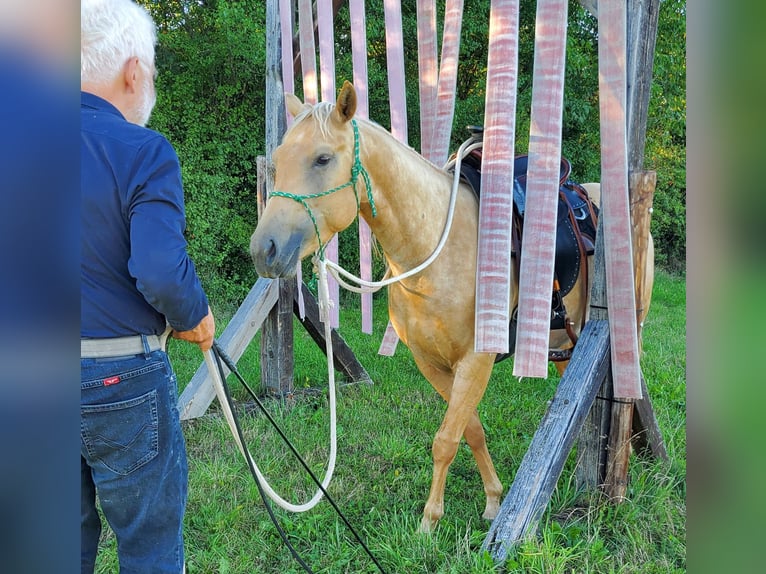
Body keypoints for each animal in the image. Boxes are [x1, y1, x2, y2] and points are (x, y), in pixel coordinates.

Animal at [250, 82, 656, 536]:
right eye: (279, 160)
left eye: (323, 158)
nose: (264, 250)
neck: (433, 253)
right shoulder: (431, 362)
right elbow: (469, 429)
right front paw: (494, 500)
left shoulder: (475, 361)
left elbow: (445, 440)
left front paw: (430, 522)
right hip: (566, 338)